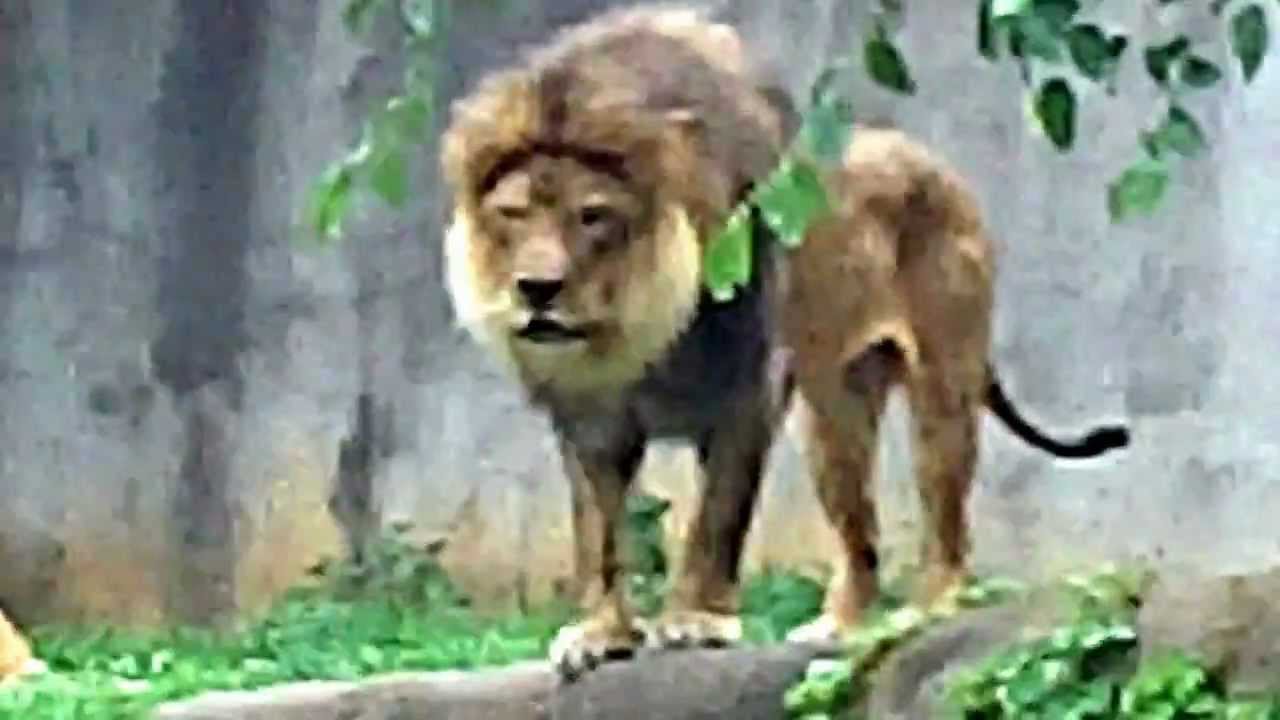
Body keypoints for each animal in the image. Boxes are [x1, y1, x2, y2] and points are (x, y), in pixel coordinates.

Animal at [439, 2, 1130, 680]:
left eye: (593, 216)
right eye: (512, 214)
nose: (537, 288)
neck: (634, 334)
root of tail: (936, 163)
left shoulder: (747, 392)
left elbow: (717, 518)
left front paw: (695, 621)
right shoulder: (590, 418)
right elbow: (598, 533)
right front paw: (601, 634)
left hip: (943, 384)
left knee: (948, 525)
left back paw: (927, 613)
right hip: (832, 418)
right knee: (863, 537)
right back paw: (838, 627)